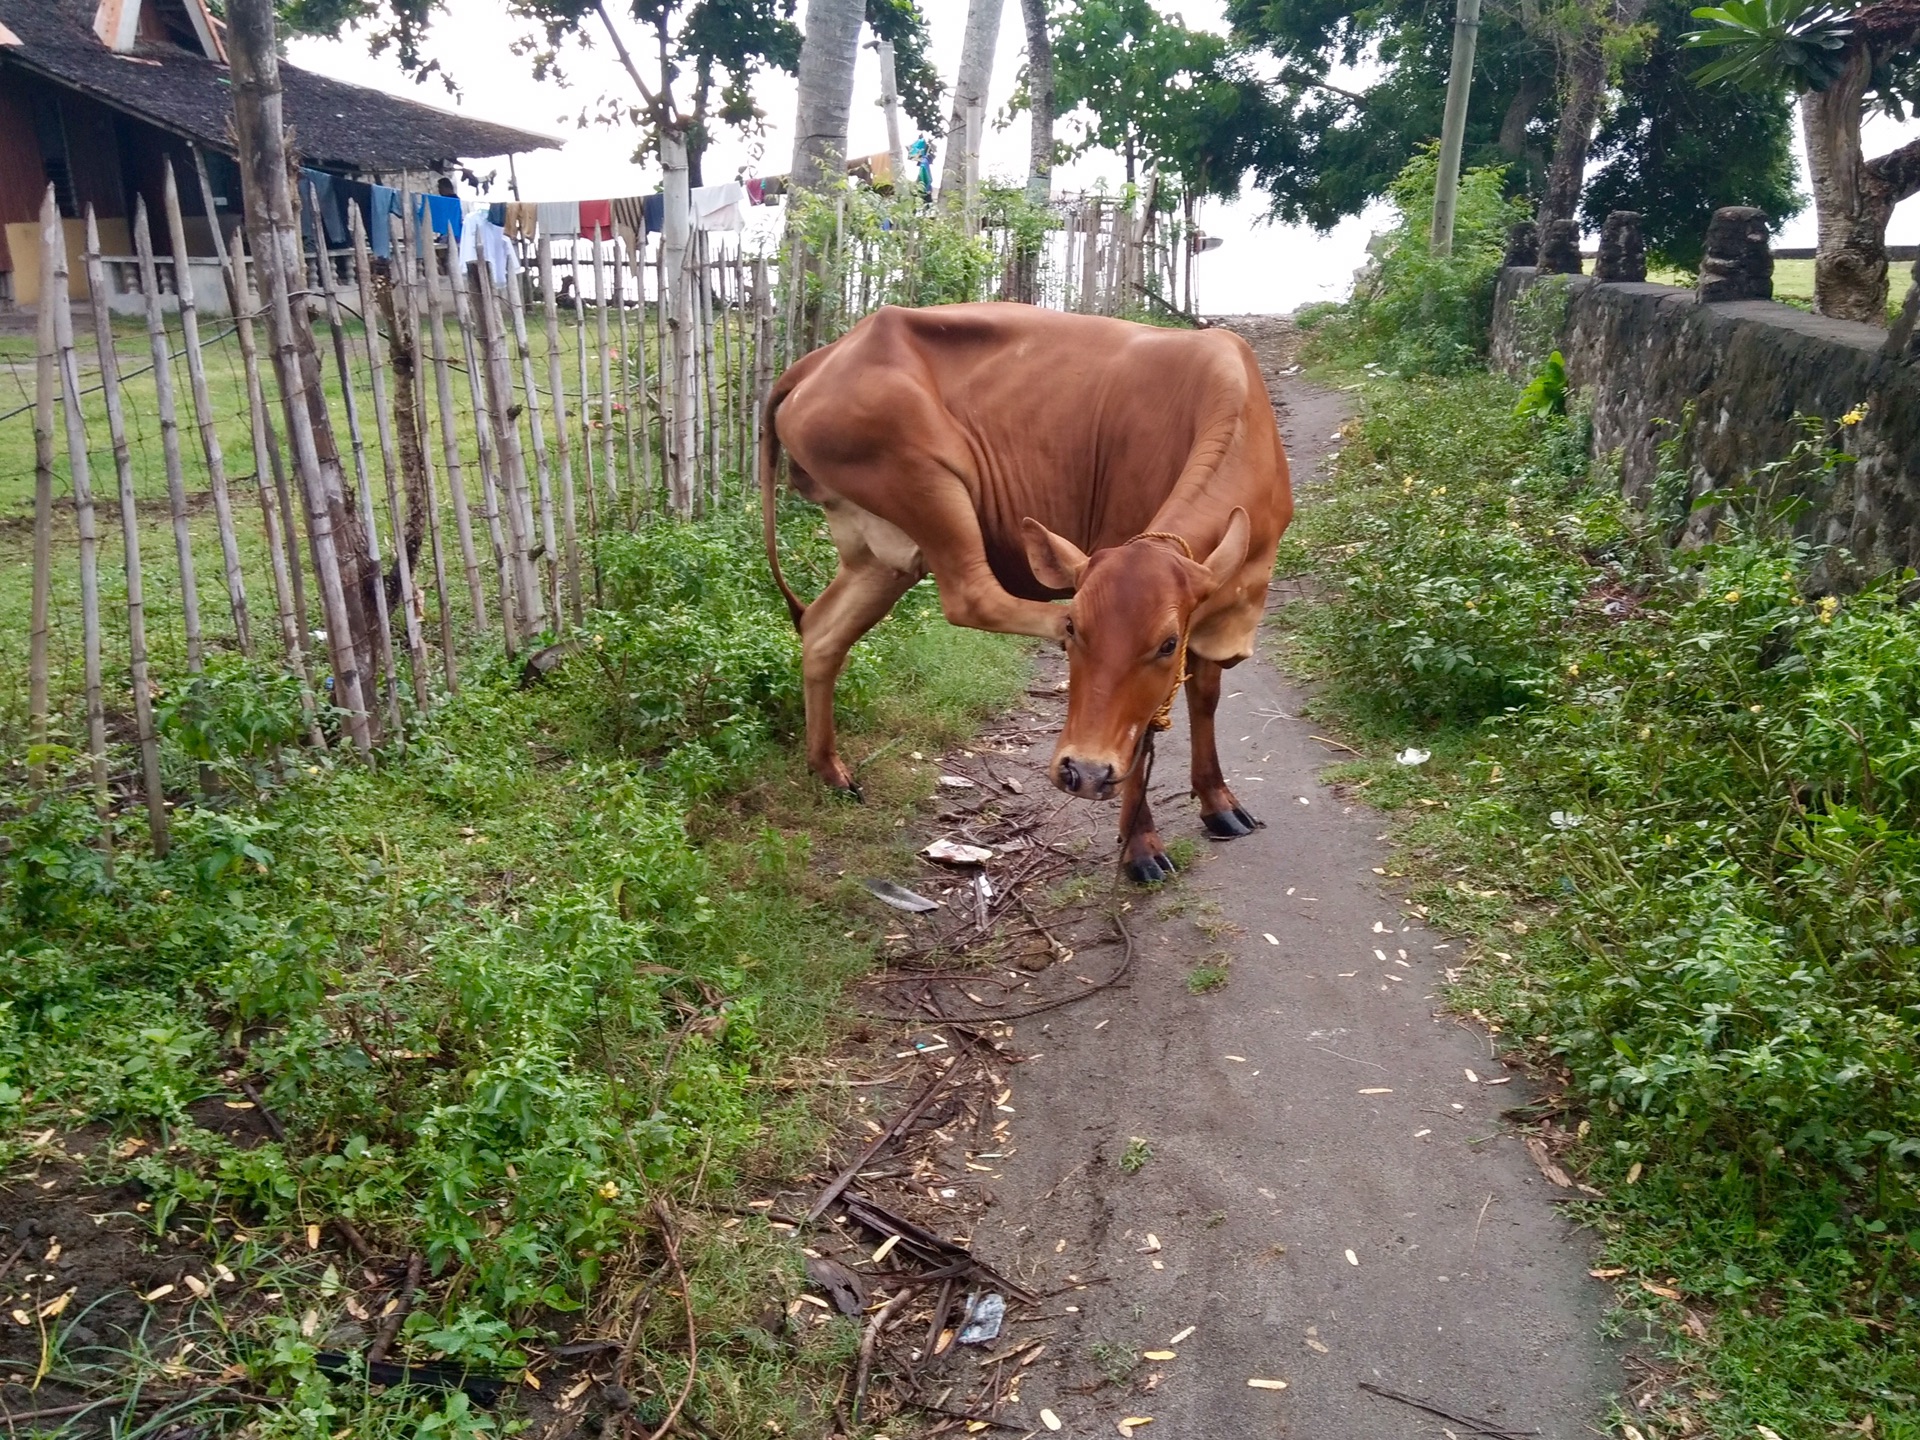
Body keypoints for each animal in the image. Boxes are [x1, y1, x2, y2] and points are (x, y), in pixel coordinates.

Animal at [760, 305, 1290, 879]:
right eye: (1079, 631)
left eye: (1168, 644)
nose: (1083, 771)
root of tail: (819, 358)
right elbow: (1147, 727)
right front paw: (1140, 846)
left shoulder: (1213, 605)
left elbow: (1205, 697)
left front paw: (1218, 802)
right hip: (926, 480)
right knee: (970, 595)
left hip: (880, 556)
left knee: (822, 632)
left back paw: (829, 769)